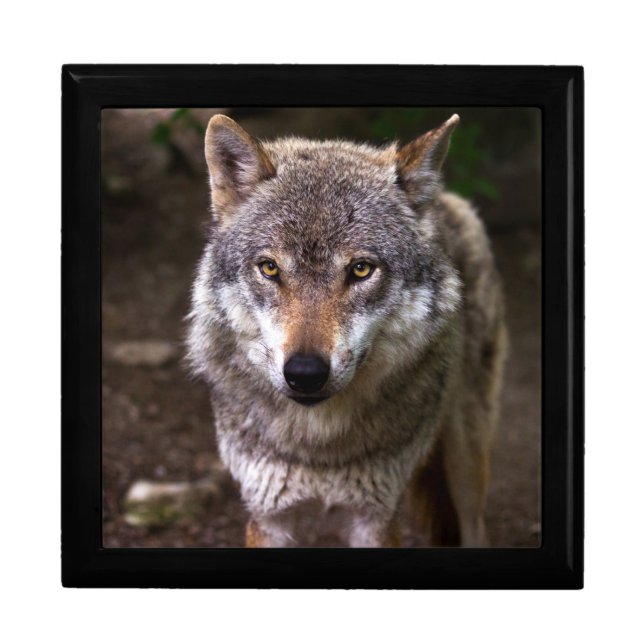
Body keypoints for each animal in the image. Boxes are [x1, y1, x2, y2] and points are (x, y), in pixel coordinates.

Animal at [187, 113, 507, 547]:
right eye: (269, 268)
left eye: (360, 269)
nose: (305, 373)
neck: (319, 448)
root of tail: (446, 200)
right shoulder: (268, 517)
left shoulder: (376, 518)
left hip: (467, 465)